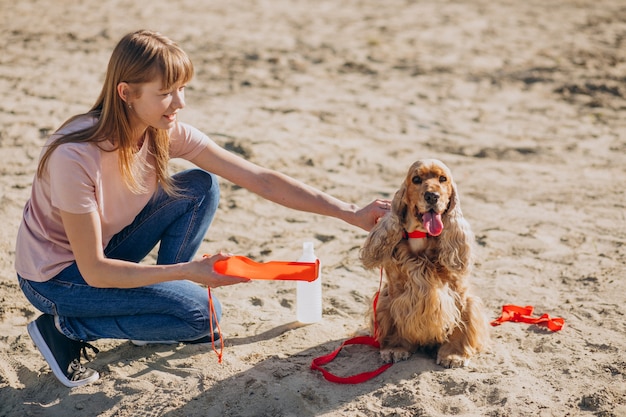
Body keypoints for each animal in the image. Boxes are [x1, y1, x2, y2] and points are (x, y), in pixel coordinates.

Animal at [360, 159, 488, 368]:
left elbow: (460, 323)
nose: (432, 196)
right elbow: (397, 319)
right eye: (416, 179)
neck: (422, 236)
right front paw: (396, 347)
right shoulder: (395, 292)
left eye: (443, 179)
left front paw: (454, 354)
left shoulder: (460, 293)